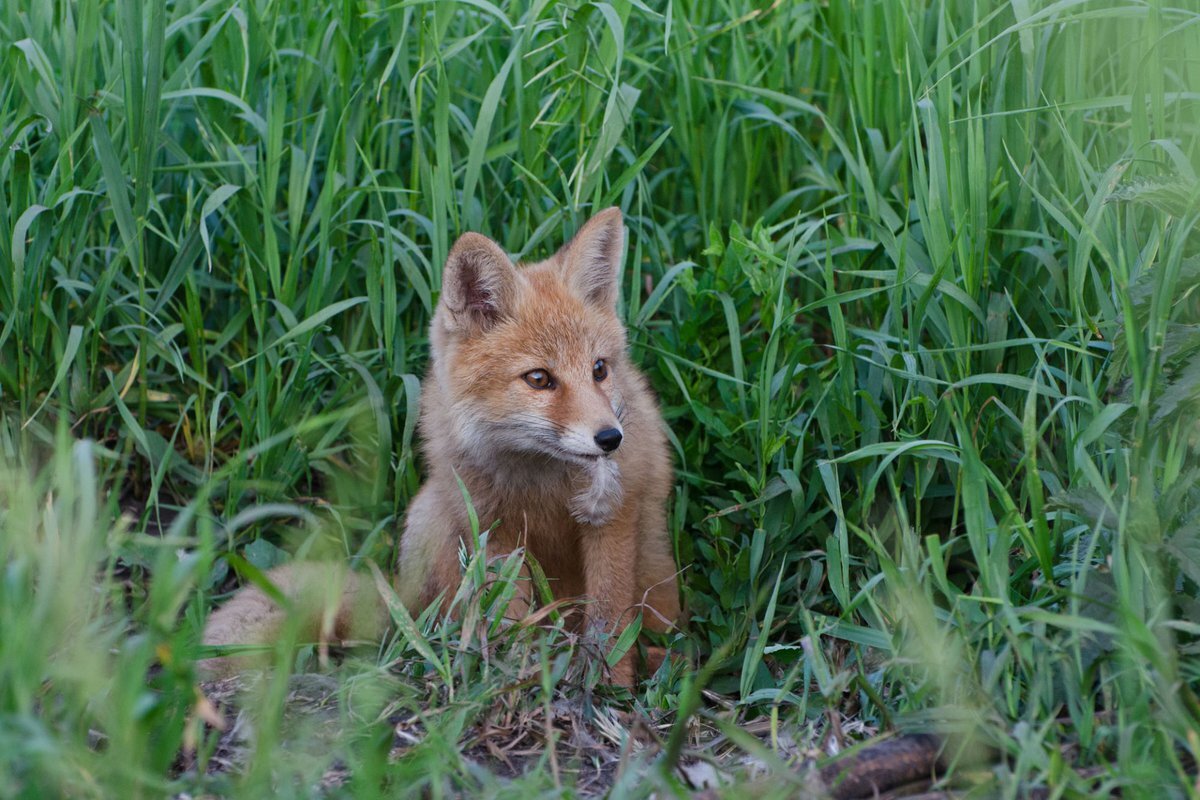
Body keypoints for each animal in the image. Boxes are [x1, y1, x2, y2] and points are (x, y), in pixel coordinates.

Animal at [201, 209, 681, 686]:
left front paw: (609, 688)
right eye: (539, 379)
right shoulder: (495, 529)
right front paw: (513, 680)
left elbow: (610, 619)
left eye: (599, 369)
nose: (610, 438)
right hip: (432, 516)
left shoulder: (613, 518)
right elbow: (508, 618)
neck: (542, 483)